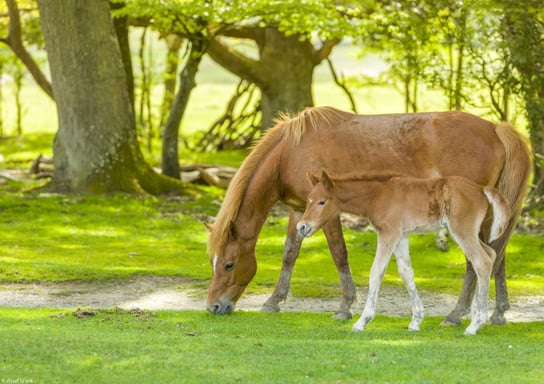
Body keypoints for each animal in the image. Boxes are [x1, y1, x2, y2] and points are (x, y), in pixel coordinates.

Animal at [206, 105, 528, 324]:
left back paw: (456, 313)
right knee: (497, 255)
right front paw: (274, 301)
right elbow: (289, 254)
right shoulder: (299, 210)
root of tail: (494, 129)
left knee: (476, 260)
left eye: (229, 264)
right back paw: (497, 313)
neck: (291, 152)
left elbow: (339, 253)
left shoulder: (327, 213)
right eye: (214, 263)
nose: (213, 307)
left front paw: (345, 306)